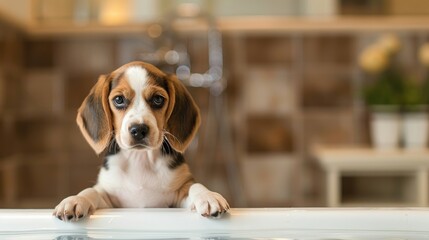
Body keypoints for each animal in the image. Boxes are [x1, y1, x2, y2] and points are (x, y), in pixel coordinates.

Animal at [54, 61, 231, 220]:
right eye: (119, 99)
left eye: (158, 99)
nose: (138, 129)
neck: (140, 159)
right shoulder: (109, 198)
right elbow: (91, 191)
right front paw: (75, 200)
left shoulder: (179, 195)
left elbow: (195, 185)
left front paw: (208, 196)